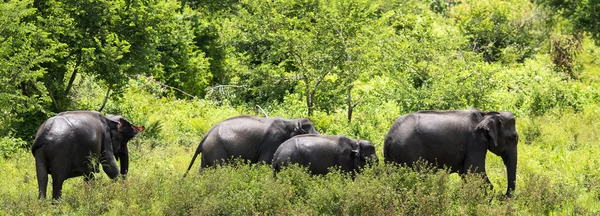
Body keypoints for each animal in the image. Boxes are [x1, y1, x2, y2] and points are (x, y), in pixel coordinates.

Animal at [185, 115, 322, 176]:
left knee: (203, 170)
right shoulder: (271, 142)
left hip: (208, 153)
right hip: (216, 150)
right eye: (307, 131)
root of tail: (205, 136)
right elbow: (263, 163)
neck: (292, 122)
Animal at [384, 109, 520, 197]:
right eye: (513, 138)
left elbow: (467, 174)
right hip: (409, 150)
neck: (486, 114)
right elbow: (474, 171)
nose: (503, 195)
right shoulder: (475, 141)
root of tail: (389, 137)